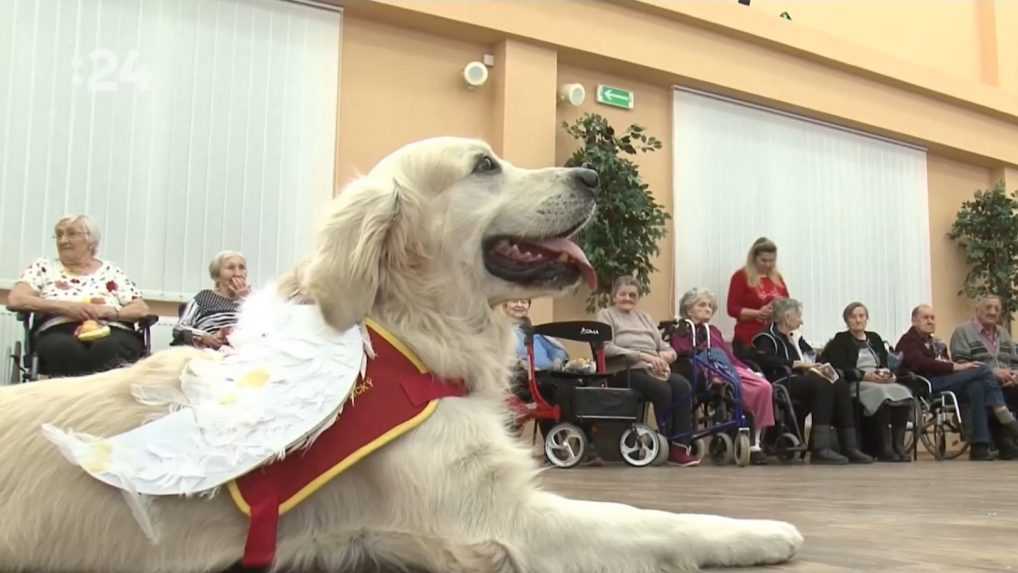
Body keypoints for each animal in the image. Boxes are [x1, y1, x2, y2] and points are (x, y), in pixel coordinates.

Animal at [0, 139, 802, 573]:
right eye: (484, 163)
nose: (593, 176)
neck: (412, 331)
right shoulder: (500, 518)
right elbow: (653, 518)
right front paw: (762, 532)